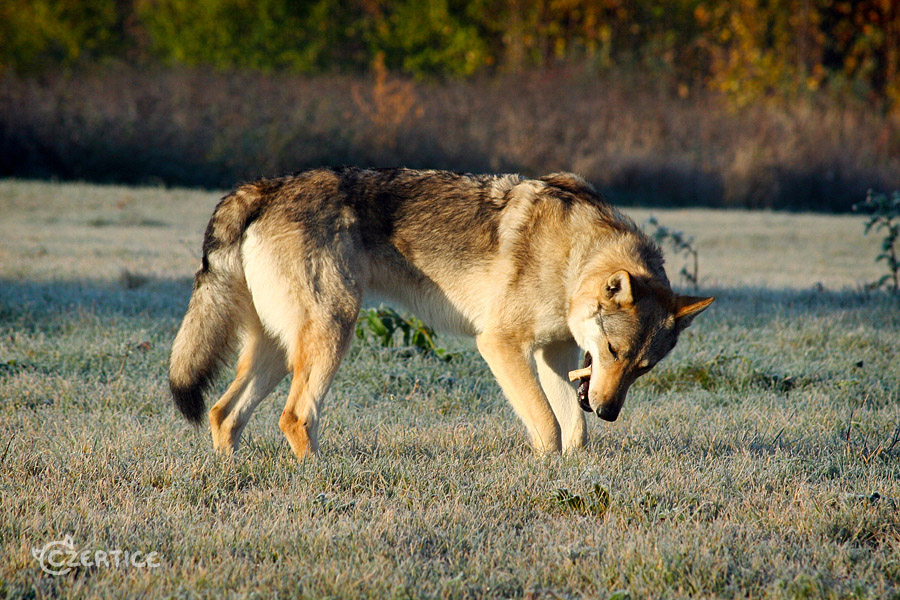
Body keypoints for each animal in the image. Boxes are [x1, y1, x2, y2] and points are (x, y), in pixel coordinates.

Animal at [172, 169, 712, 460]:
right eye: (613, 351)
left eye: (642, 368)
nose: (609, 412)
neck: (573, 260)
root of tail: (265, 187)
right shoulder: (499, 345)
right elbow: (549, 426)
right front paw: (542, 475)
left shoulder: (552, 356)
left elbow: (574, 433)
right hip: (332, 333)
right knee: (295, 417)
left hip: (278, 351)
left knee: (222, 413)